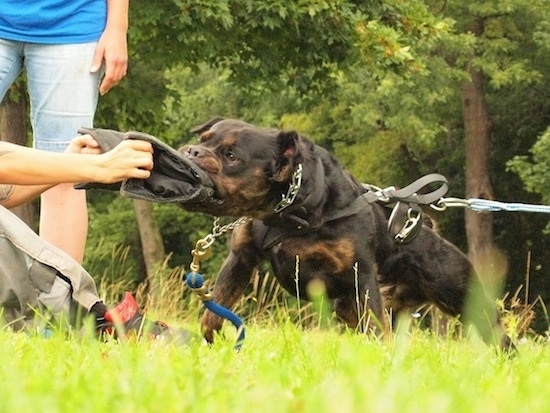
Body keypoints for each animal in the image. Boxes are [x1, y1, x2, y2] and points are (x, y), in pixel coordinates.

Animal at [181, 116, 516, 350]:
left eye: (231, 156)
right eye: (203, 138)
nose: (192, 150)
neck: (289, 209)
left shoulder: (360, 274)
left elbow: (376, 327)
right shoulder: (241, 258)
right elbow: (215, 306)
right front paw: (212, 341)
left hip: (463, 296)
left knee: (500, 337)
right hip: (353, 305)